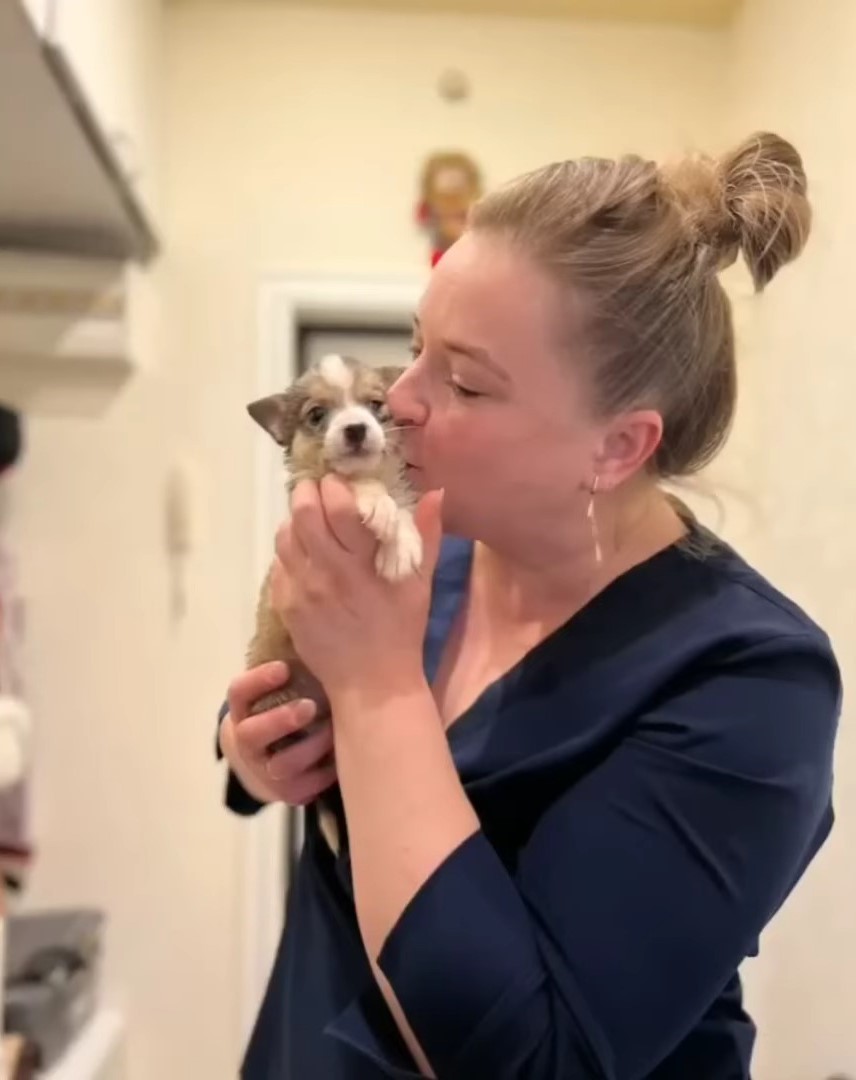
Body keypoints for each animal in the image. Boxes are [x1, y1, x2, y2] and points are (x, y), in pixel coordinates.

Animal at [243, 354, 420, 851]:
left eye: (376, 405)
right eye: (317, 416)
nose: (356, 429)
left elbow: (400, 504)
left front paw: (402, 544)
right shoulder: (321, 487)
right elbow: (356, 487)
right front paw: (376, 505)